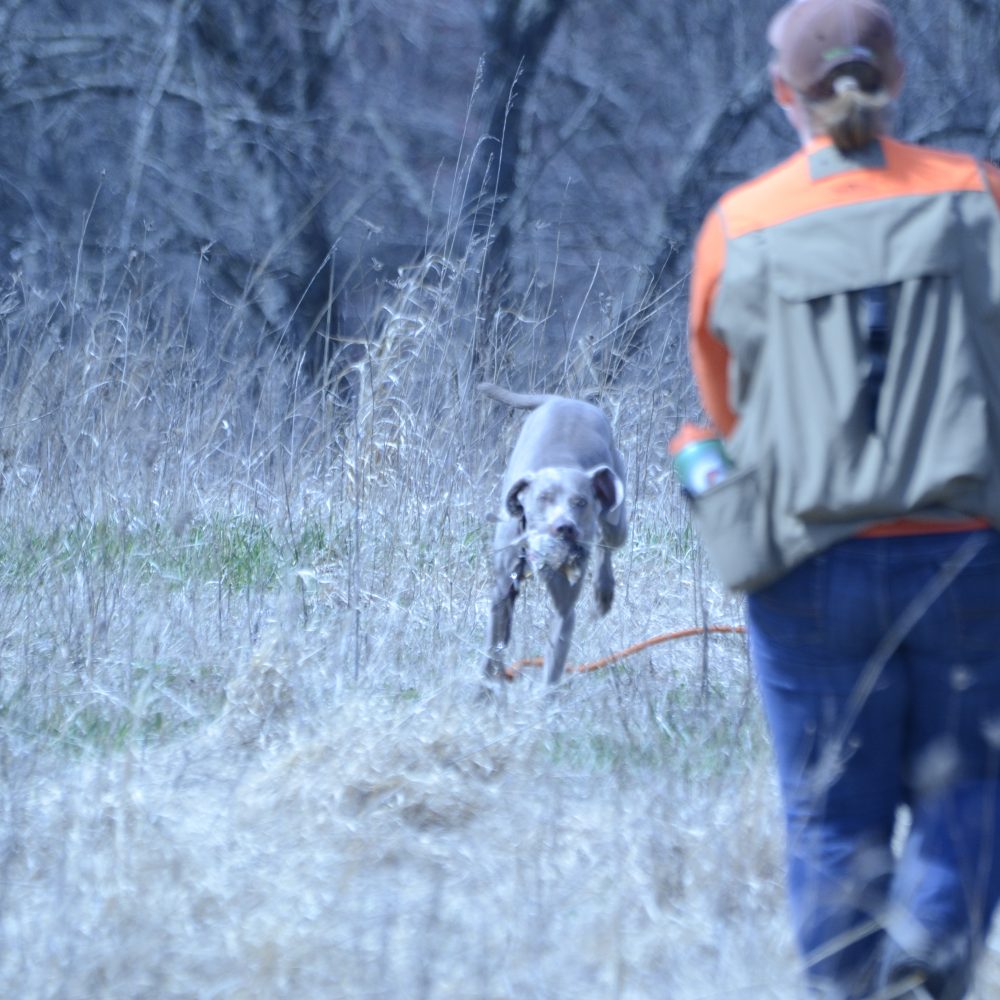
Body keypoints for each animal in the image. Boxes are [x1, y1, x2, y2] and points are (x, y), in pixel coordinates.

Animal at [480, 382, 628, 688]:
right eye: (544, 498)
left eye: (580, 502)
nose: (565, 527)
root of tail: (565, 400)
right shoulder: (502, 592)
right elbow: (493, 649)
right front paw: (486, 688)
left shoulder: (564, 607)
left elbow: (554, 663)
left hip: (616, 517)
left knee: (606, 543)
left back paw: (603, 591)